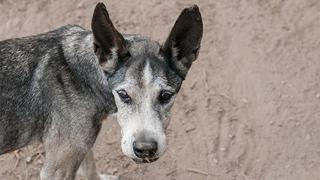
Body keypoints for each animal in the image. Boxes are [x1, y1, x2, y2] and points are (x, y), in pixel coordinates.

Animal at [0, 2, 202, 179]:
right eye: (123, 95)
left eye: (166, 95)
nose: (145, 150)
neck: (82, 77)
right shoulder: (57, 169)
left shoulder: (81, 145)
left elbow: (89, 168)